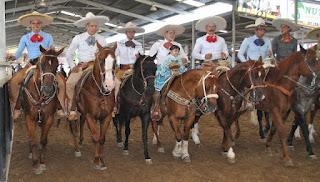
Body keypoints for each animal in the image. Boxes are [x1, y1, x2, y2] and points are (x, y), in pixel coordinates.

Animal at [19, 46, 64, 174]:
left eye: (57, 65)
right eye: (42, 64)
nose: (48, 89)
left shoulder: (49, 118)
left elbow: (43, 140)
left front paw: (42, 161)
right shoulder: (29, 118)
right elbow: (33, 140)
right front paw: (35, 163)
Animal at [69, 43, 115, 171]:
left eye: (115, 61)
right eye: (101, 60)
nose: (109, 85)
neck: (99, 93)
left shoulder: (106, 116)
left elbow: (102, 139)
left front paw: (101, 160)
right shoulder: (90, 115)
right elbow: (95, 137)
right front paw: (96, 160)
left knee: (81, 122)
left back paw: (81, 140)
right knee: (74, 128)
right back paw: (77, 149)